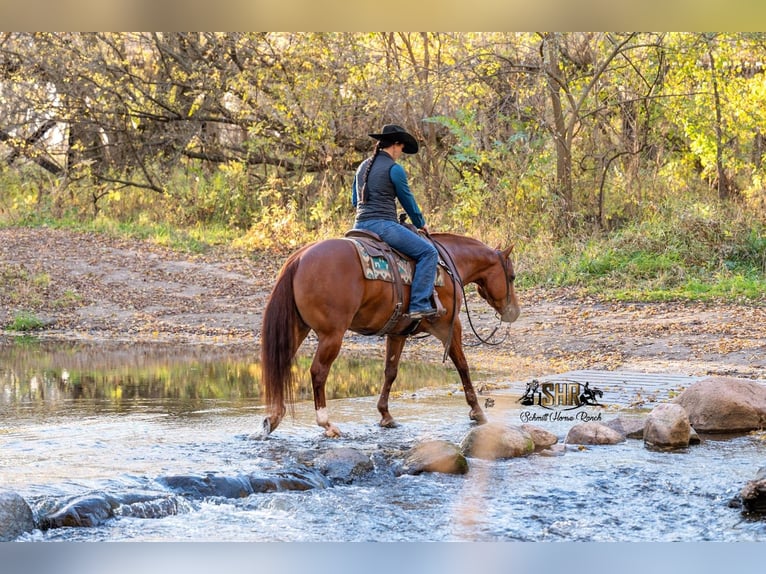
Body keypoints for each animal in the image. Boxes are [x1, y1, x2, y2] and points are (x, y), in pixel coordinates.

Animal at [259, 232, 521, 437]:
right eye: (512, 277)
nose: (514, 312)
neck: (449, 265)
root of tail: (300, 258)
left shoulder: (398, 333)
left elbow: (390, 372)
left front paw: (386, 415)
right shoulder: (449, 326)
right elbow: (463, 366)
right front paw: (477, 411)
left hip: (298, 328)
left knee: (281, 364)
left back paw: (274, 418)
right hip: (332, 335)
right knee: (318, 372)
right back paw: (327, 424)